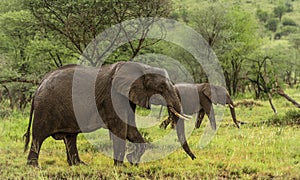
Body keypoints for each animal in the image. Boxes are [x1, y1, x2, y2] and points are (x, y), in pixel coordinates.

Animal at [24, 62, 197, 167]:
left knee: (70, 137)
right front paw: (120, 166)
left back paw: (79, 165)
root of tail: (40, 85)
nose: (195, 158)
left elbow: (130, 128)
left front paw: (132, 163)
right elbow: (120, 127)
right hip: (45, 107)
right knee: (38, 136)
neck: (140, 66)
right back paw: (35, 167)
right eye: (161, 87)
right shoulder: (112, 96)